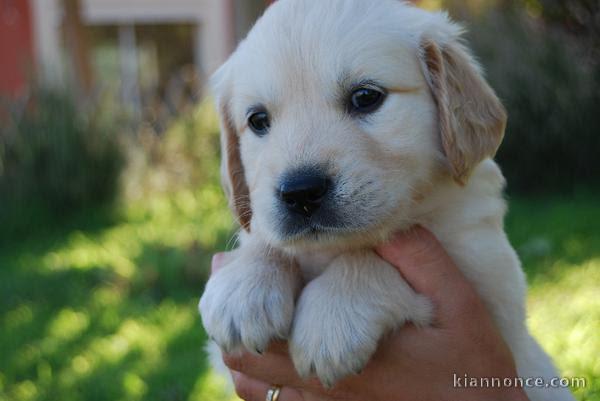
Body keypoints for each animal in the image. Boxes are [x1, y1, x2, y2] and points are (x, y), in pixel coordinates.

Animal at [199, 1, 576, 398]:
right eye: (258, 120)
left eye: (365, 97)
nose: (300, 192)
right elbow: (265, 237)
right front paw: (243, 286)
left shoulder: (488, 277)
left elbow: (373, 260)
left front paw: (333, 316)